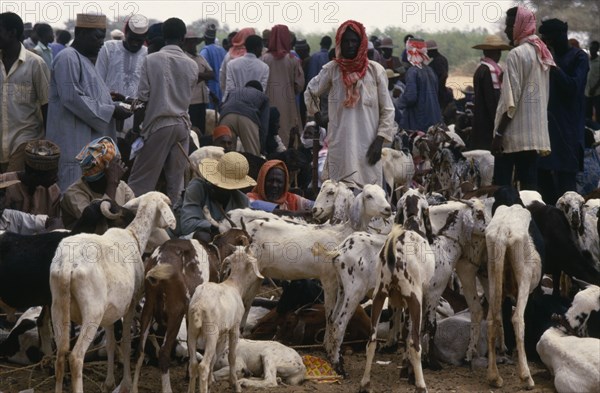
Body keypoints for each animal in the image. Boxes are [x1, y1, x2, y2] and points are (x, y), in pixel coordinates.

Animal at [51, 191, 176, 390]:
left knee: (60, 355)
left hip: (57, 306)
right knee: (76, 357)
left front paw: (109, 383)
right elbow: (125, 343)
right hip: (92, 313)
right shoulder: (131, 303)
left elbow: (110, 344)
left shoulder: (110, 312)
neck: (134, 235)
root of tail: (68, 265)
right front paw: (126, 382)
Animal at [186, 245, 264, 392]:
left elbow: (215, 357)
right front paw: (235, 384)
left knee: (193, 364)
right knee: (203, 366)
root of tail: (199, 306)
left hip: (191, 331)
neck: (234, 284)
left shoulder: (222, 333)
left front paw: (211, 381)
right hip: (211, 333)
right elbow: (231, 356)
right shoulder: (234, 328)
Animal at [482, 204, 544, 388]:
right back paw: (526, 377)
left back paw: (494, 377)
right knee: (517, 318)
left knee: (491, 319)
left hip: (493, 274)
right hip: (524, 274)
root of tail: (503, 230)